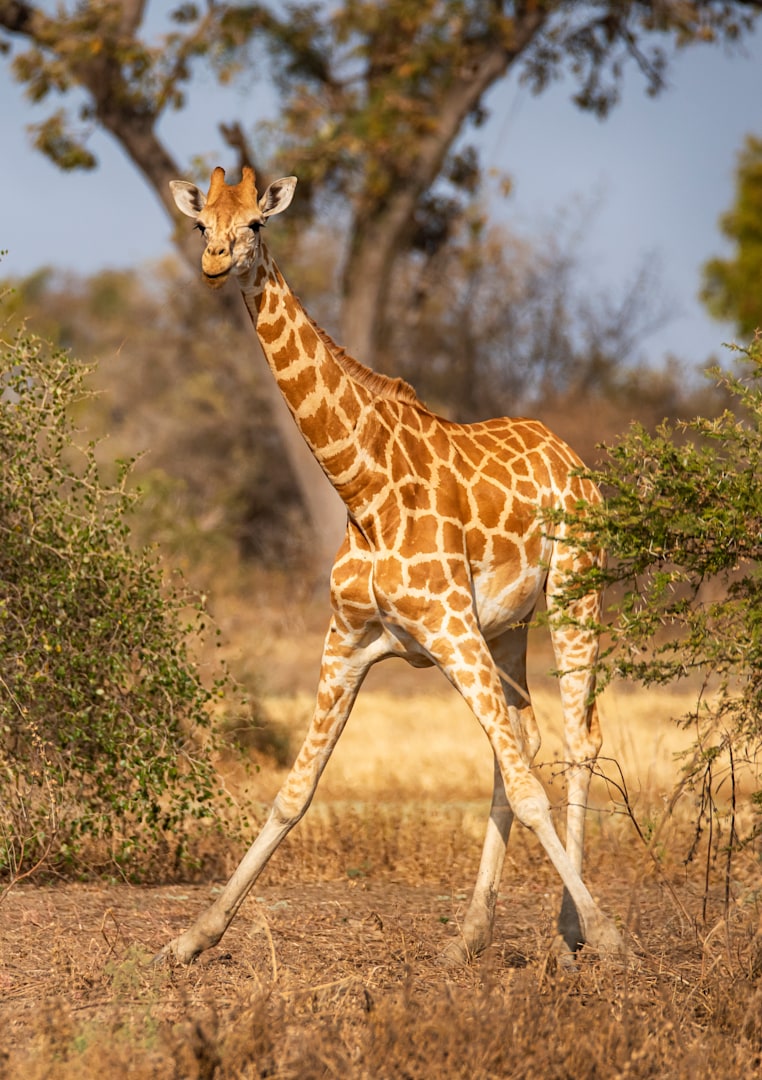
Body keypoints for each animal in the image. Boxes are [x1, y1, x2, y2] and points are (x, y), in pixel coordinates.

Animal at [162, 165, 623, 966]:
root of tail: (572, 458)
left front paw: (606, 933)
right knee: (523, 742)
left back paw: (570, 925)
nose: (217, 262)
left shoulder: (447, 627)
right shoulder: (347, 642)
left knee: (577, 738)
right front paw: (195, 936)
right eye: (200, 223)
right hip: (506, 629)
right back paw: (470, 934)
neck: (360, 488)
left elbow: (531, 788)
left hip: (572, 592)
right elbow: (293, 791)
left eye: (256, 222)